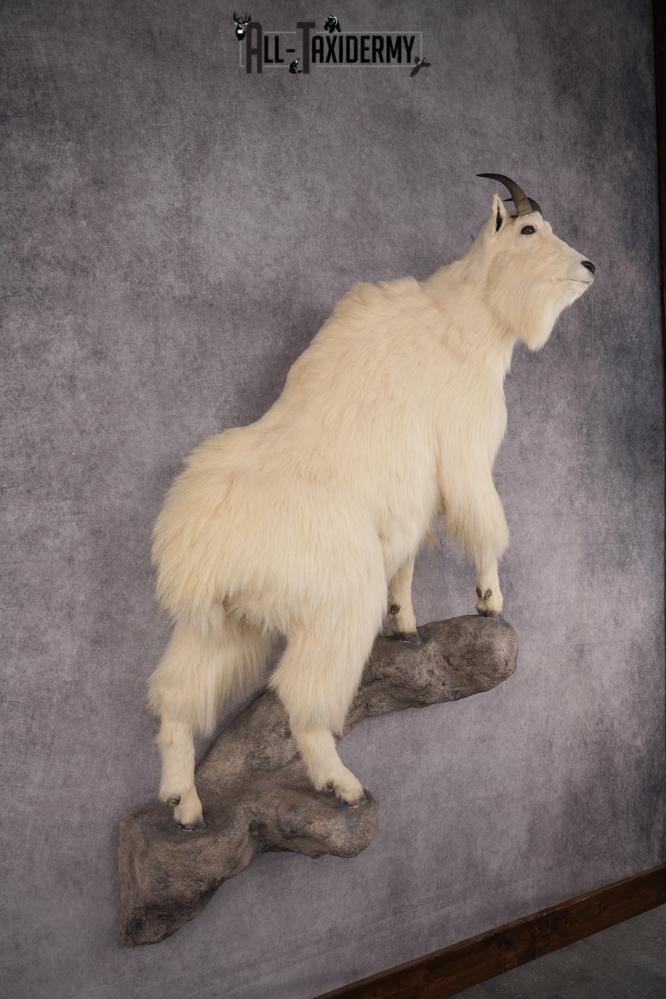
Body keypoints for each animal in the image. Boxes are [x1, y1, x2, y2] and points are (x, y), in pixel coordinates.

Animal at [148, 174, 595, 828]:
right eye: (528, 229)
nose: (589, 266)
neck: (465, 318)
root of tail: (201, 556)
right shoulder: (462, 451)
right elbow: (483, 522)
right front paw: (489, 600)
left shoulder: (412, 496)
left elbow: (406, 564)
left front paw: (404, 625)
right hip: (332, 610)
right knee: (303, 701)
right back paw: (342, 786)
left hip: (218, 626)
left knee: (178, 700)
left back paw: (185, 806)